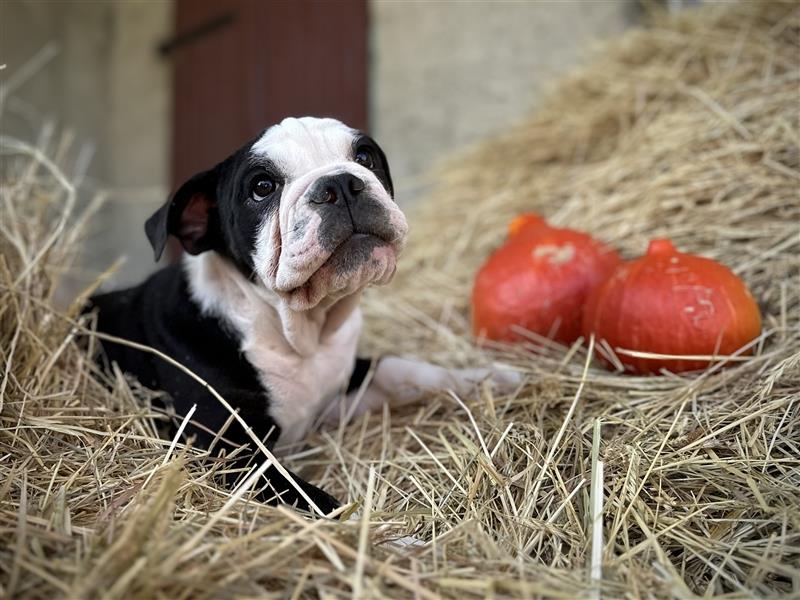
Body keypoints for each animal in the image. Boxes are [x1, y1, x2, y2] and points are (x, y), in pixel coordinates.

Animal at [86, 118, 512, 516]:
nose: (340, 183)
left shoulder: (343, 388)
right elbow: (315, 501)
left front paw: (487, 378)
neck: (299, 330)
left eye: (364, 157)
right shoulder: (233, 454)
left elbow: (400, 367)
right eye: (261, 187)